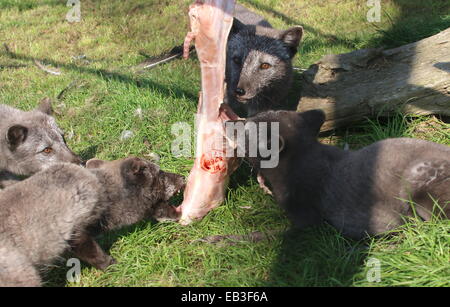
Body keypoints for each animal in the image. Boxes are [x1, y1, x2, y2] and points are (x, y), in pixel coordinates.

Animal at [0, 158, 185, 288]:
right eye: (160, 174)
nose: (182, 177)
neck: (104, 192)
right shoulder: (76, 233)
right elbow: (96, 255)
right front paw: (114, 267)